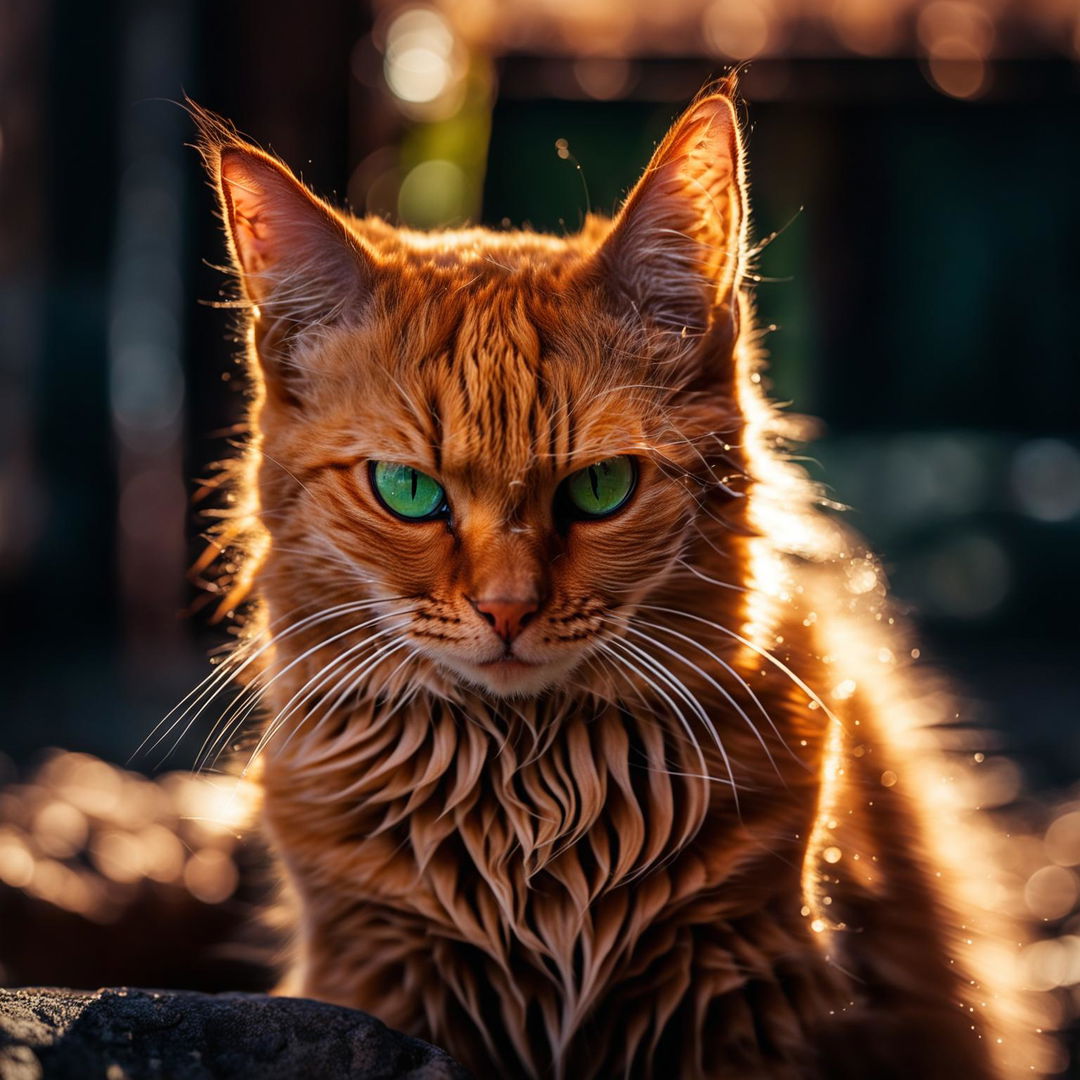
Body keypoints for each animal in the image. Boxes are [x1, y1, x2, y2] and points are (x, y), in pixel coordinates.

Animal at [190, 88, 1049, 1075]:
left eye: (601, 489)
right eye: (407, 491)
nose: (508, 608)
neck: (529, 807)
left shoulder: (750, 1001)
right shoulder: (381, 975)